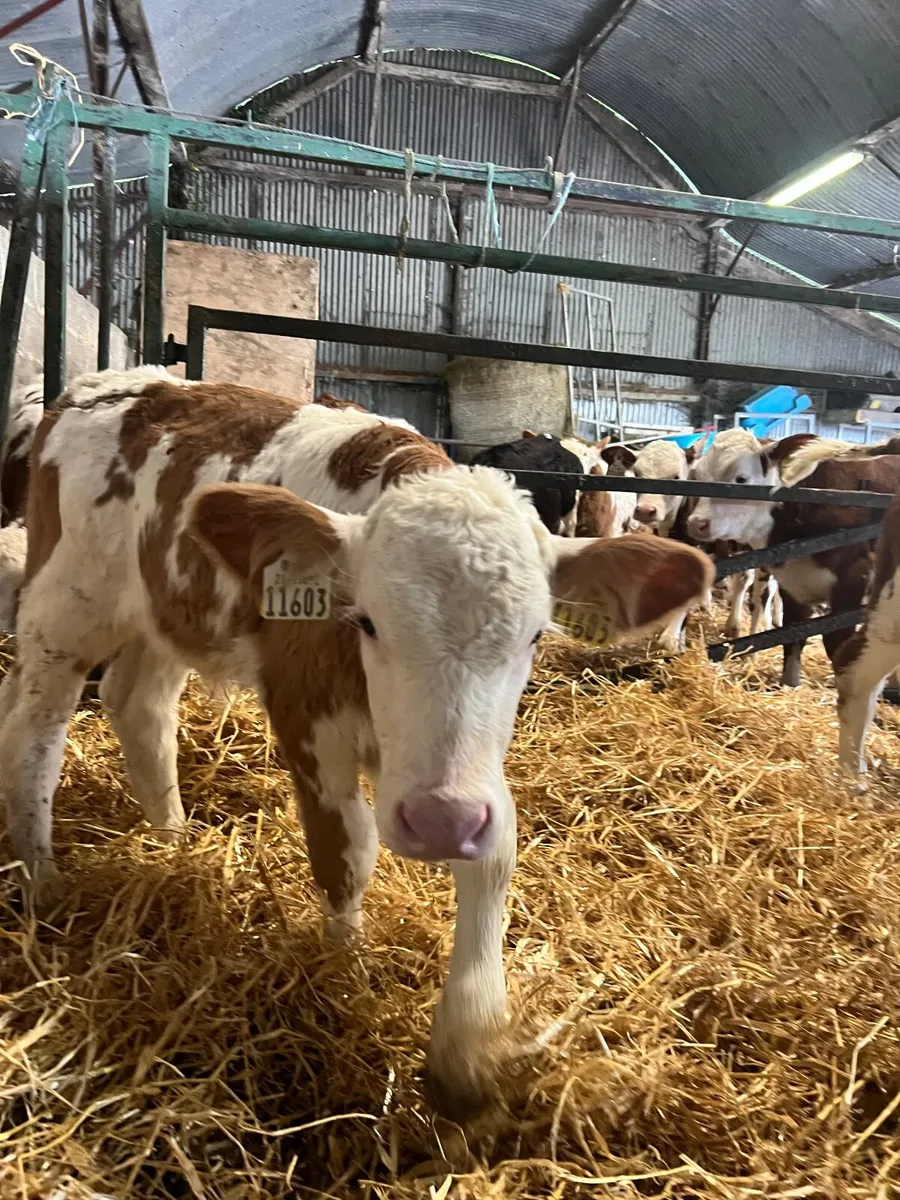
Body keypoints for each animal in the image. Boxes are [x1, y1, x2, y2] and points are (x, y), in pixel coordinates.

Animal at [0, 365, 713, 1120]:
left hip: (166, 614)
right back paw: (44, 881)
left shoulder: (471, 777)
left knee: (138, 705)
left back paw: (173, 841)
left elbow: (495, 856)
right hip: (65, 607)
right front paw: (345, 972)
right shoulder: (307, 719)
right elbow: (346, 853)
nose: (440, 822)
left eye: (534, 636)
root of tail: (117, 382)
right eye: (365, 620)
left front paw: (467, 1047)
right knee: (34, 732)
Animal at [687, 428, 900, 687]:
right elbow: (791, 637)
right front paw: (789, 685)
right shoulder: (793, 585)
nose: (696, 523)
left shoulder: (855, 579)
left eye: (741, 479)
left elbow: (838, 645)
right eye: (697, 477)